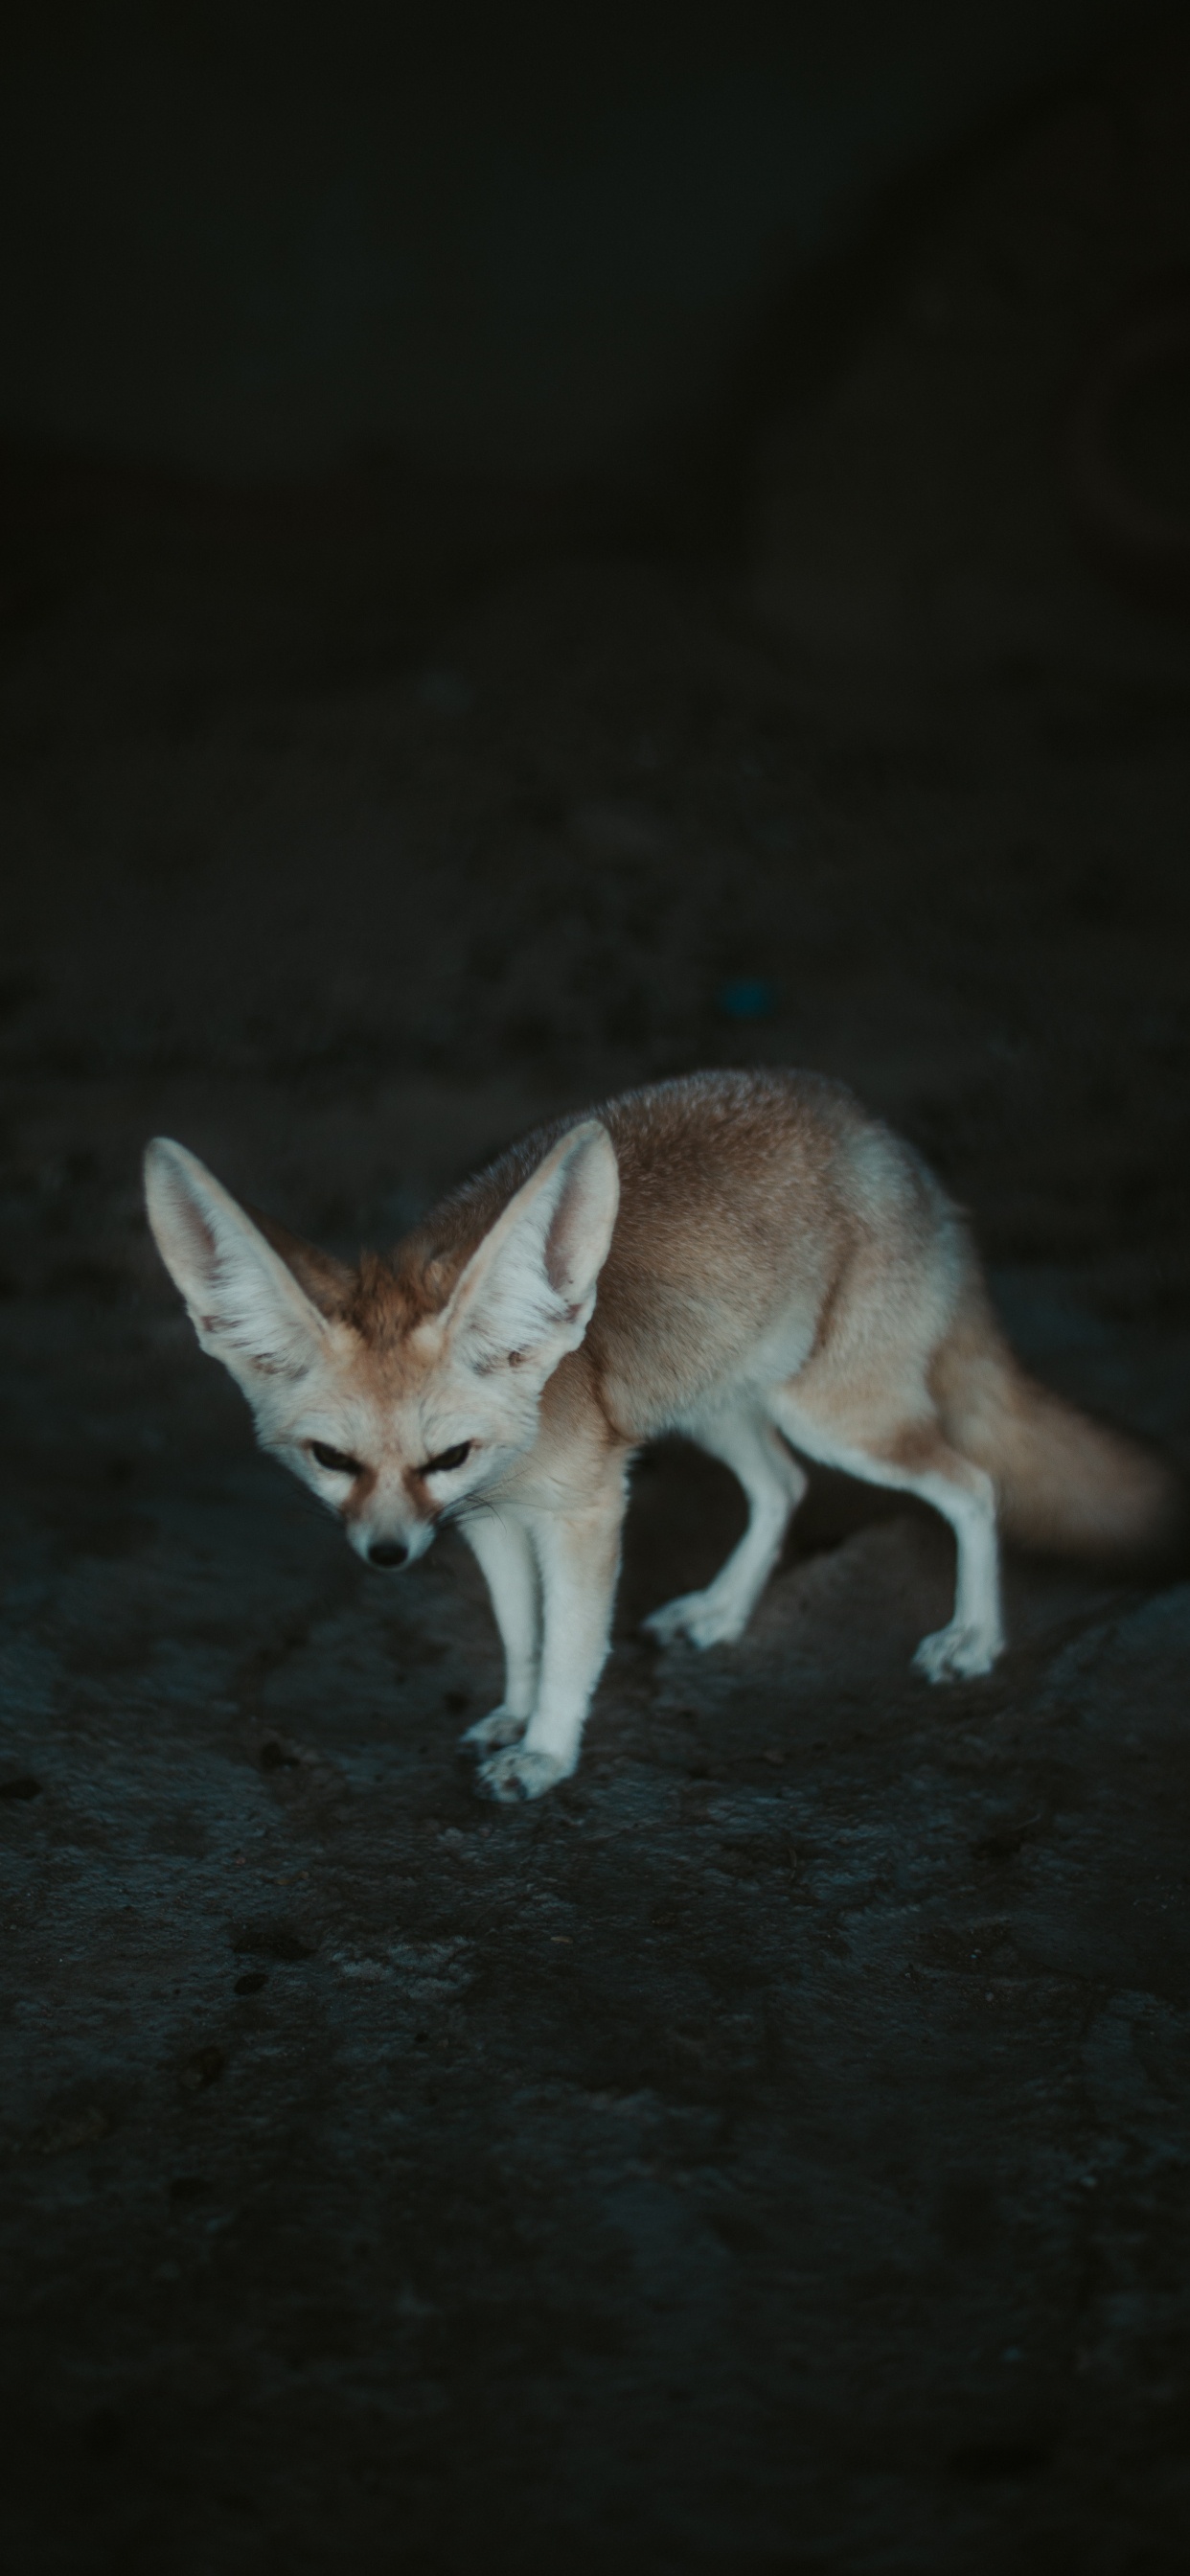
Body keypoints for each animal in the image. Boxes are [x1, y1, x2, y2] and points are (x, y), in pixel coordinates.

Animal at [144, 1068, 1181, 1802]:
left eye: (447, 1455)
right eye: (332, 1461)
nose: (387, 1556)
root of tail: (894, 1148)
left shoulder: (584, 1511)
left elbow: (571, 1645)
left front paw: (547, 1752)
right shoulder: (490, 1521)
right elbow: (521, 1636)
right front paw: (513, 1715)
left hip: (835, 1418)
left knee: (973, 1486)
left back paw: (973, 1637)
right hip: (719, 1406)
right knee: (784, 1489)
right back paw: (722, 1612)